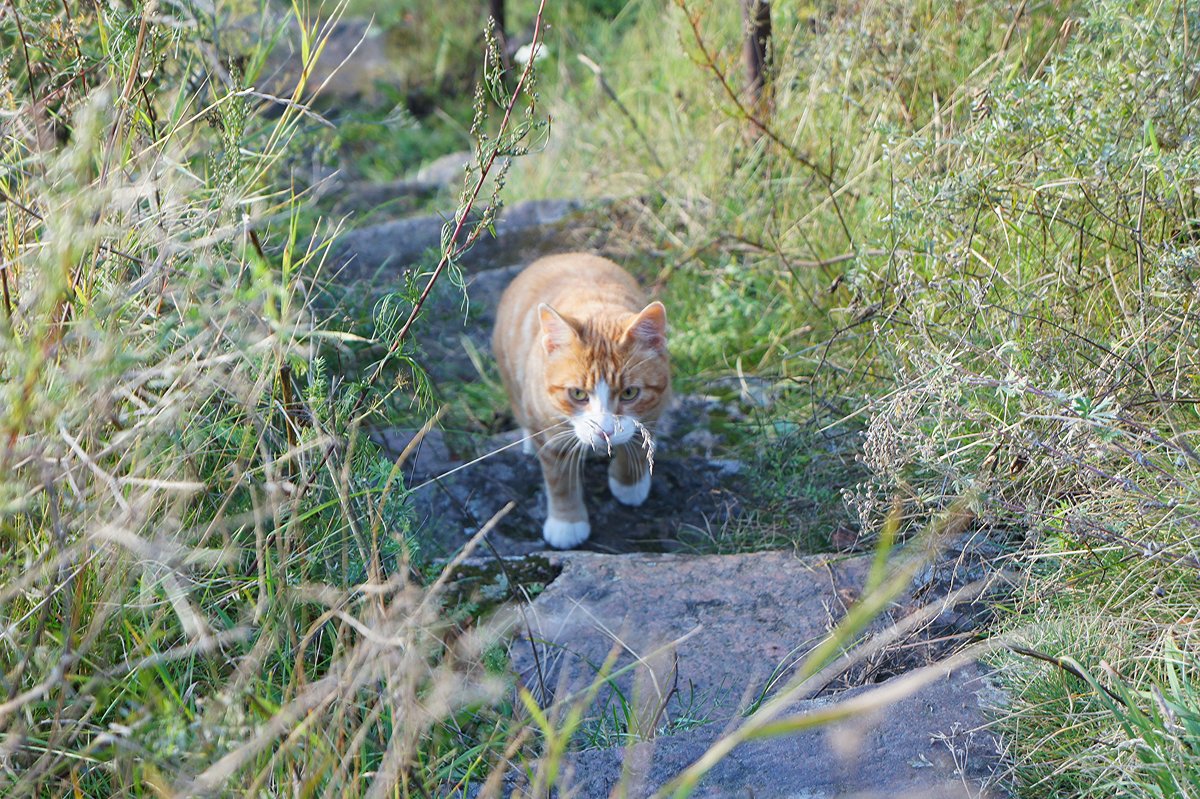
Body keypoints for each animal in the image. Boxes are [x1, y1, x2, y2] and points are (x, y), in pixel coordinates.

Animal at [492, 253, 672, 547]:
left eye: (629, 393)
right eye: (577, 394)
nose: (605, 431)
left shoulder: (653, 409)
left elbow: (637, 443)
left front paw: (630, 483)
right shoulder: (551, 433)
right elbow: (560, 480)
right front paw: (567, 523)